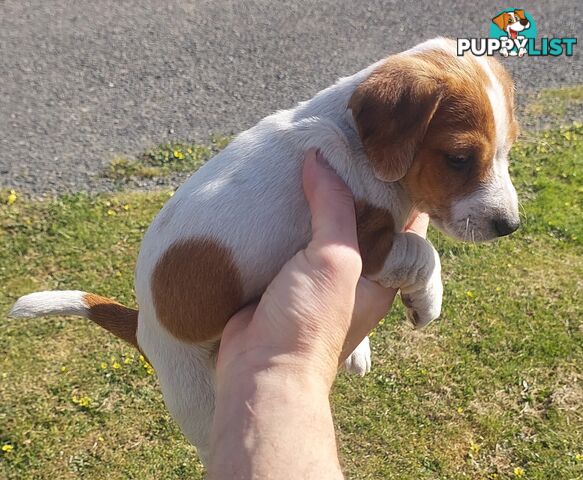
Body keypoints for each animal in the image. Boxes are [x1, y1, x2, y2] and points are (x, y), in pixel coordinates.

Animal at [10, 38, 520, 464]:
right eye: (458, 159)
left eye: (508, 149)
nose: (510, 226)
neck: (352, 139)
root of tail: (142, 327)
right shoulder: (365, 241)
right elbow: (422, 251)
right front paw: (427, 301)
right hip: (200, 402)